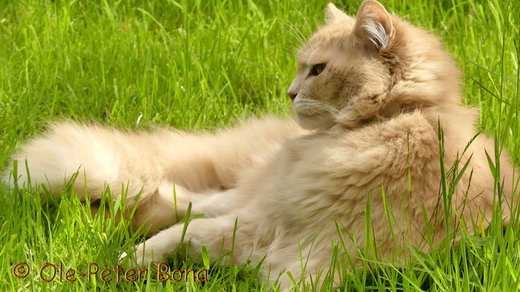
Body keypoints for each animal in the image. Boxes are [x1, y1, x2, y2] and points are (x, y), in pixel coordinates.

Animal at [3, 0, 516, 290]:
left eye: (317, 70)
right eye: (303, 68)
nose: (288, 93)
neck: (404, 117)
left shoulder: (286, 246)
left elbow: (186, 235)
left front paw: (127, 260)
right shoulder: (265, 220)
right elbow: (182, 229)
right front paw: (124, 260)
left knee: (180, 204)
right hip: (246, 191)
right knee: (180, 196)